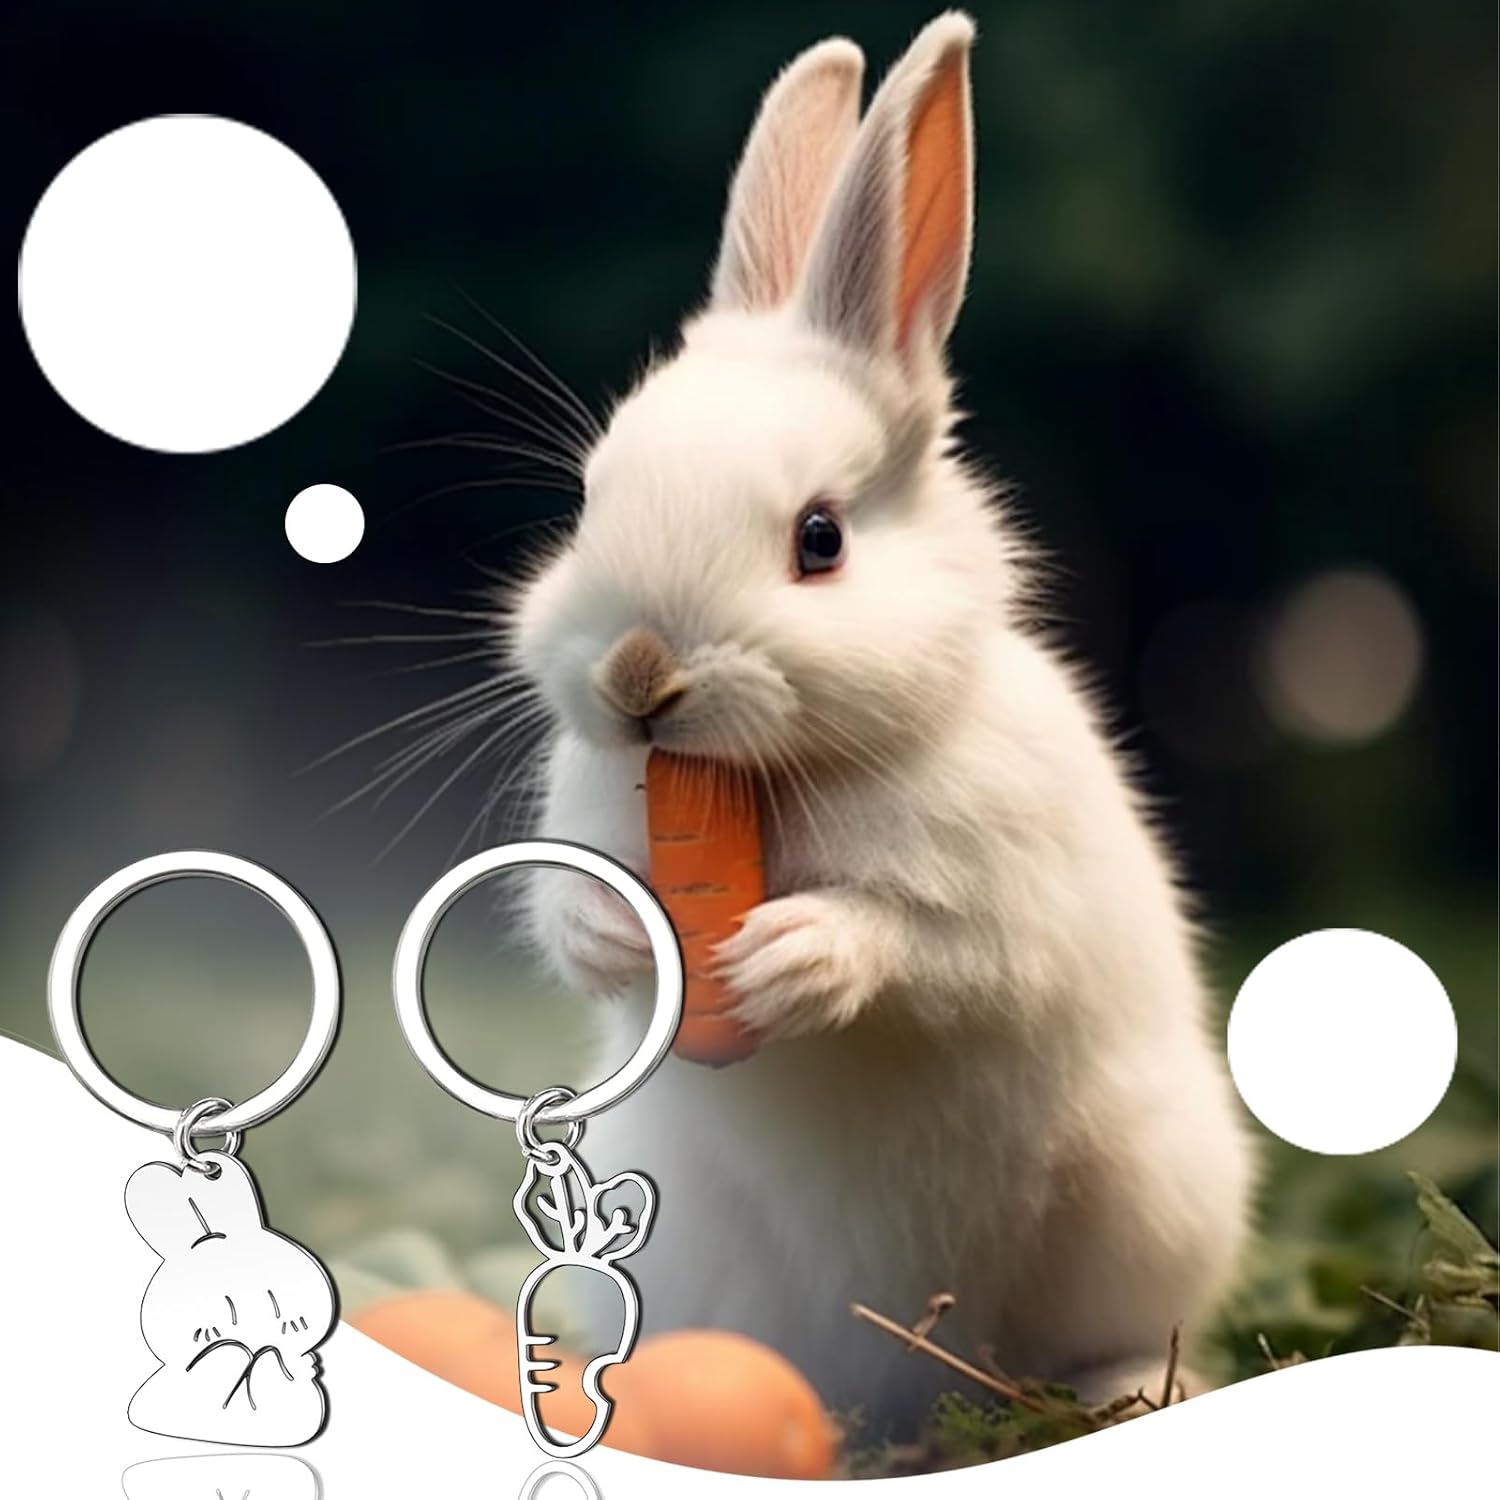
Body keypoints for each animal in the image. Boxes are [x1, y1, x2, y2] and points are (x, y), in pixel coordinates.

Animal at [508, 11, 1254, 1434]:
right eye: (588, 500)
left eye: (820, 540)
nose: (636, 675)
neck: (768, 779)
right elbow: (572, 919)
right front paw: (613, 934)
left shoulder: (1003, 910)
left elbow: (924, 950)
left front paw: (789, 959)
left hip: (1141, 1203)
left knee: (1115, 1336)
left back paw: (1128, 1391)